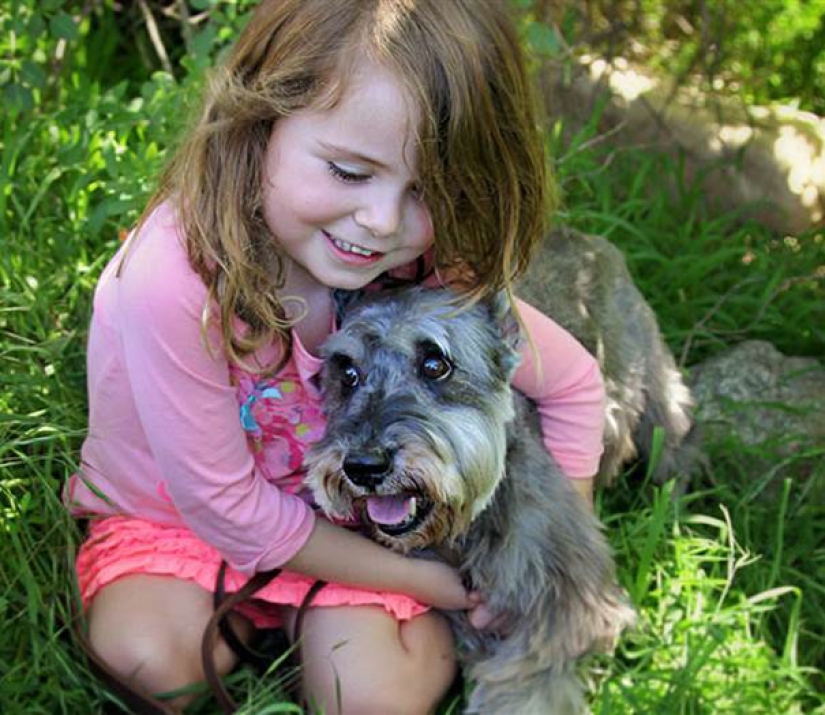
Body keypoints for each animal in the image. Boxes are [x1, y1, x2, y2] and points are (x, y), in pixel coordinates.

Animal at [306, 286, 636, 715]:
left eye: (435, 364)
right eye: (347, 373)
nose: (364, 466)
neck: (468, 527)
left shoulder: (570, 612)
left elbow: (526, 688)